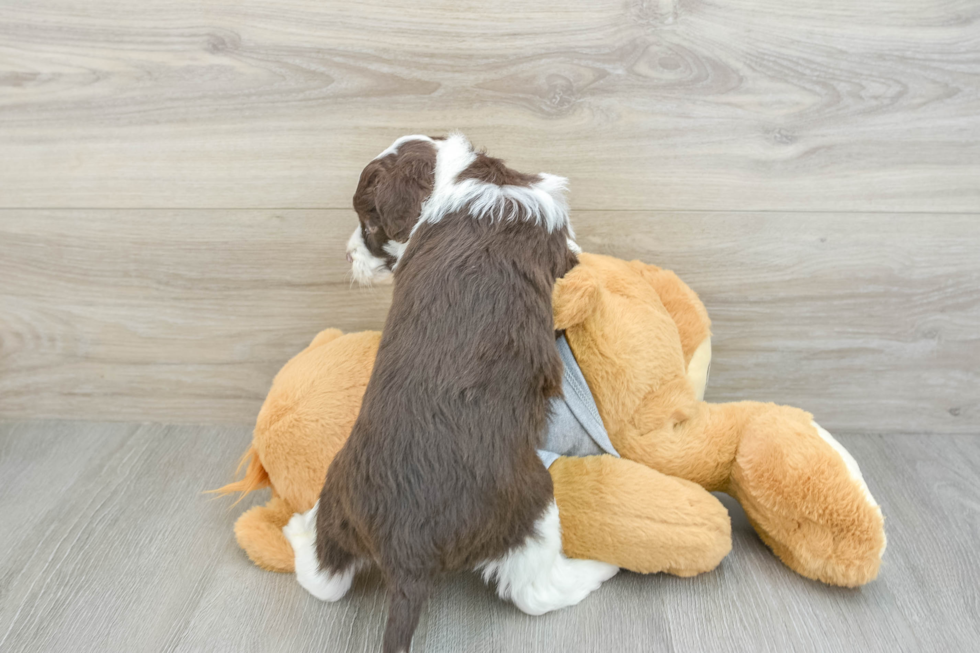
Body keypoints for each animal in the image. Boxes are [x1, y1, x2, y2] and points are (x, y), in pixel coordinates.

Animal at [288, 134, 616, 652]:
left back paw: (296, 531)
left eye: (369, 223)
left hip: (340, 503)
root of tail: (406, 554)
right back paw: (596, 570)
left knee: (324, 577)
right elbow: (570, 251)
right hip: (530, 506)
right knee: (535, 592)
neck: (460, 179)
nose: (347, 256)